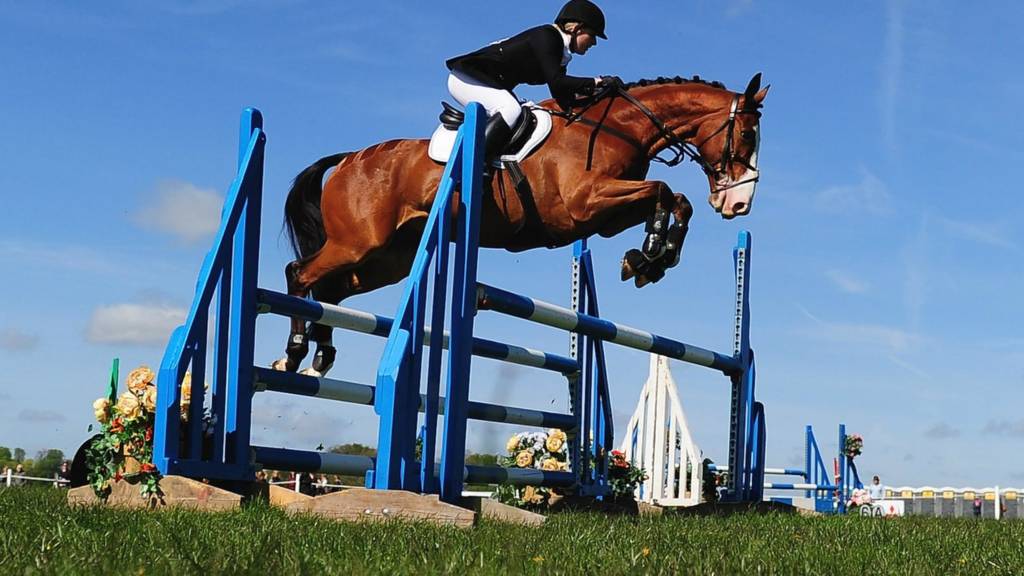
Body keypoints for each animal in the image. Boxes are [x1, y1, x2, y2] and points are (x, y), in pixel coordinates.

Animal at [274, 73, 769, 376]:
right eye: (747, 134)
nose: (740, 202)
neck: (619, 127)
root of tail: (349, 160)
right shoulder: (584, 204)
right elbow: (664, 191)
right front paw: (649, 254)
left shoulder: (604, 215)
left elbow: (676, 201)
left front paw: (650, 259)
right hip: (359, 242)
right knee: (299, 273)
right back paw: (295, 353)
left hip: (386, 259)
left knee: (331, 290)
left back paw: (321, 356)